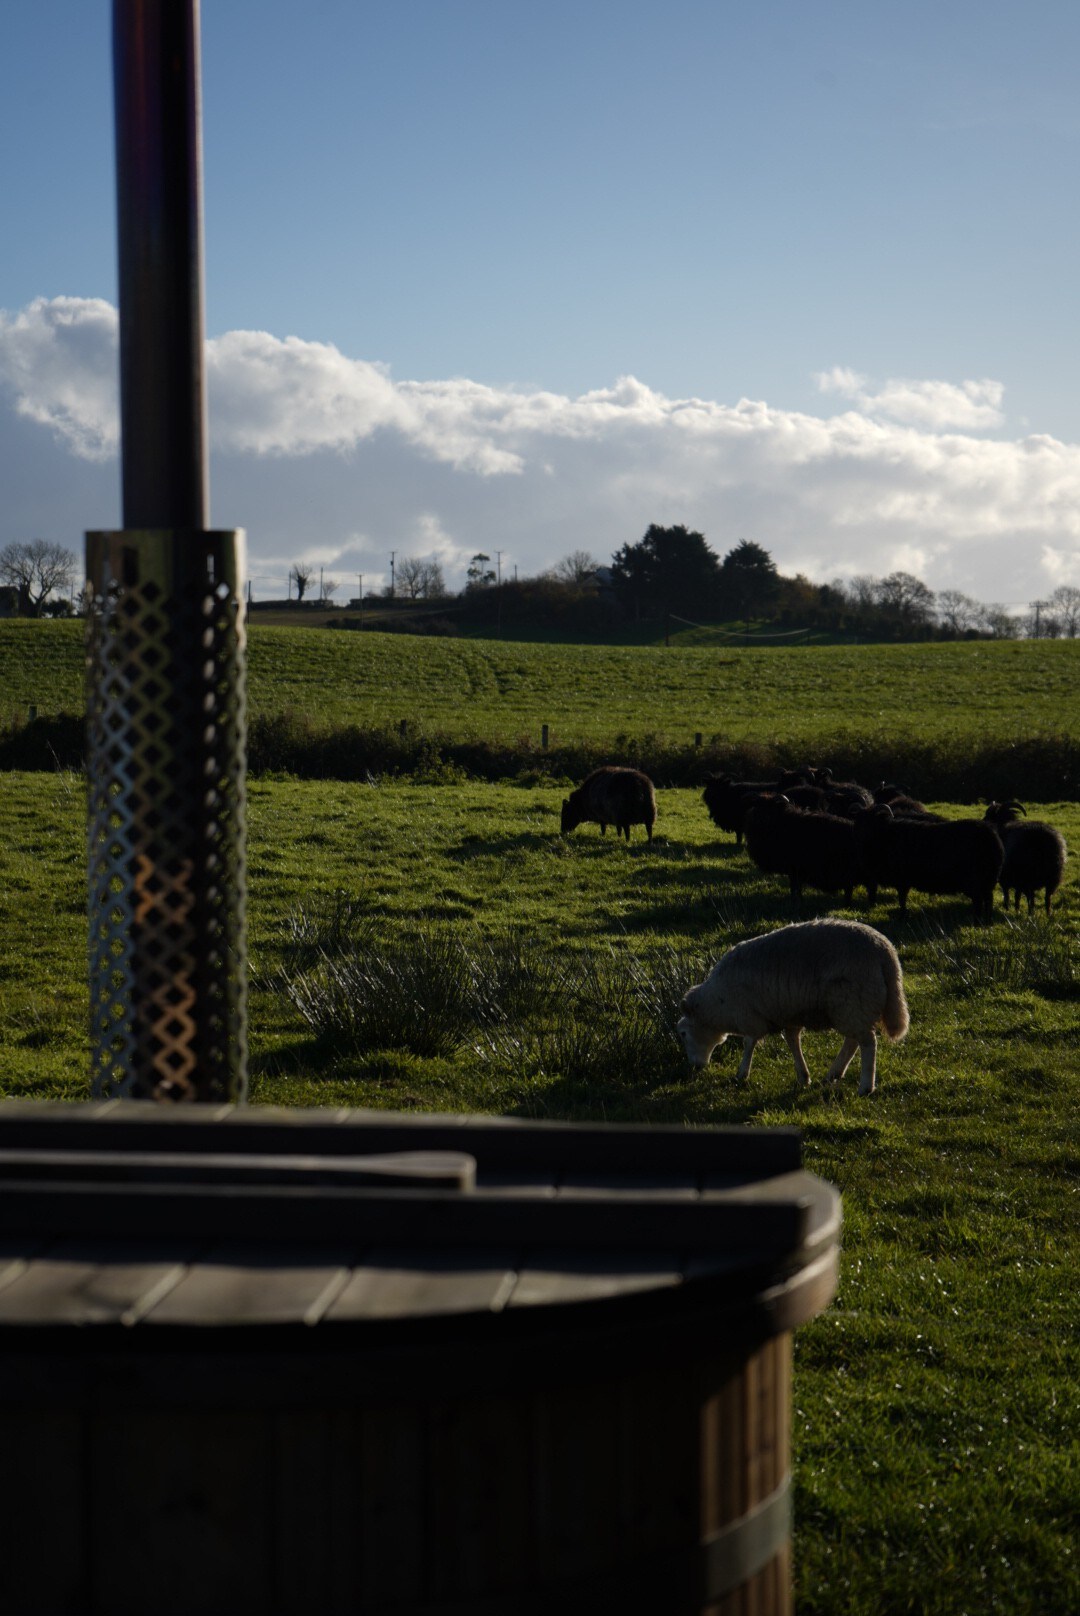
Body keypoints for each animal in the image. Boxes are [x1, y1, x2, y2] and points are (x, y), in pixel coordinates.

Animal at [679, 917, 905, 1092]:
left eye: (683, 1033)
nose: (694, 1067)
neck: (716, 1002)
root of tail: (886, 953)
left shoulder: (749, 1015)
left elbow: (749, 1043)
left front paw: (741, 1073)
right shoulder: (788, 1013)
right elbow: (792, 1041)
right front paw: (803, 1076)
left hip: (852, 1002)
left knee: (867, 1042)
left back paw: (865, 1086)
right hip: (852, 1007)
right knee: (852, 1041)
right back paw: (833, 1074)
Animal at [853, 801, 1002, 917]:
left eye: (872, 821)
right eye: (858, 821)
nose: (862, 836)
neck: (885, 836)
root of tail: (990, 836)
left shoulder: (902, 879)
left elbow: (902, 899)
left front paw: (903, 916)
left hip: (974, 880)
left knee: (979, 901)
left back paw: (977, 921)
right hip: (986, 880)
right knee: (988, 899)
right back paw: (987, 921)